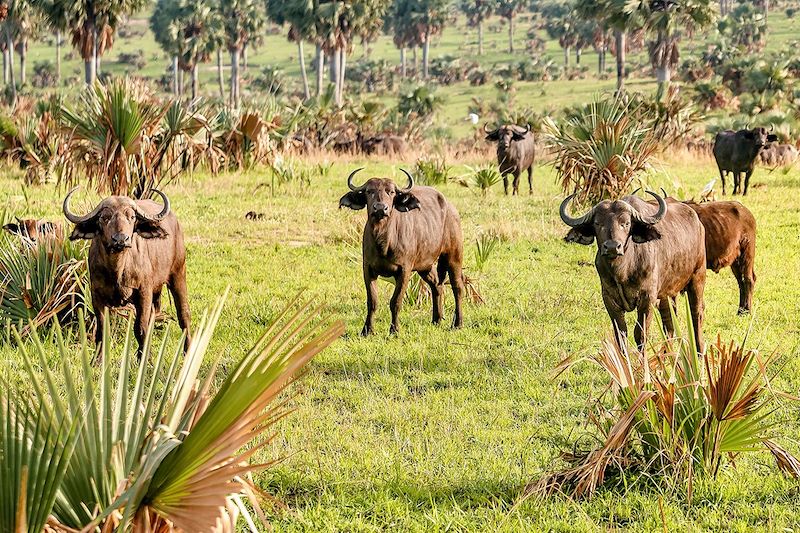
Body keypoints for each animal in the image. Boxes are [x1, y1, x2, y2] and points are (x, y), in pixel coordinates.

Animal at [63, 187, 191, 358]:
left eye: (132, 217)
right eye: (104, 217)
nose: (120, 239)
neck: (117, 271)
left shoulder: (144, 293)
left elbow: (140, 328)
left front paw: (144, 358)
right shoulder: (97, 296)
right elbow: (102, 330)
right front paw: (97, 359)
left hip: (178, 274)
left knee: (183, 314)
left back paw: (187, 351)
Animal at [340, 168, 466, 334]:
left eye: (391, 192)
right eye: (369, 191)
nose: (380, 208)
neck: (384, 241)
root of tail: (451, 210)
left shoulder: (404, 270)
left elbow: (396, 301)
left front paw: (394, 330)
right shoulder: (367, 269)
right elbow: (372, 301)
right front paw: (367, 330)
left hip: (454, 256)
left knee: (457, 287)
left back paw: (457, 323)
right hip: (425, 266)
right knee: (437, 285)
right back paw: (436, 320)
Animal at [564, 189, 708, 352]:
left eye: (626, 223)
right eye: (597, 223)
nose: (612, 247)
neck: (623, 271)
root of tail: (697, 222)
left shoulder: (648, 298)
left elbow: (640, 334)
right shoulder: (609, 298)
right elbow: (620, 334)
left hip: (697, 279)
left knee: (696, 315)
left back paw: (699, 350)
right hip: (668, 293)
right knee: (670, 321)